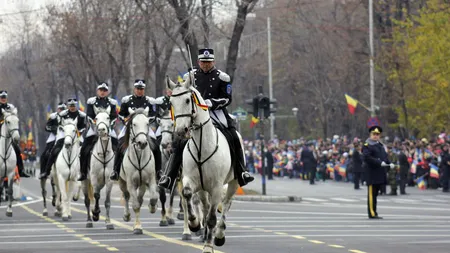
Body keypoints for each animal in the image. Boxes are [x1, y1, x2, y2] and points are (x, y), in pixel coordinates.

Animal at [118, 107, 159, 235]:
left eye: (147, 123)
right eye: (134, 124)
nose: (142, 143)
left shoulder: (150, 180)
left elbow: (153, 197)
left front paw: (152, 207)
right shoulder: (130, 183)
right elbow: (135, 205)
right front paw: (137, 227)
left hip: (142, 184)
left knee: (140, 199)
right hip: (122, 182)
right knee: (126, 196)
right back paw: (126, 215)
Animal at [167, 75, 241, 253]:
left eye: (188, 100)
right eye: (171, 102)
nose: (180, 131)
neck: (202, 147)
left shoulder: (216, 187)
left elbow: (213, 217)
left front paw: (208, 246)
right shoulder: (190, 180)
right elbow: (187, 195)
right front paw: (193, 224)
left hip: (233, 182)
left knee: (226, 205)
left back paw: (219, 235)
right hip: (202, 188)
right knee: (205, 207)